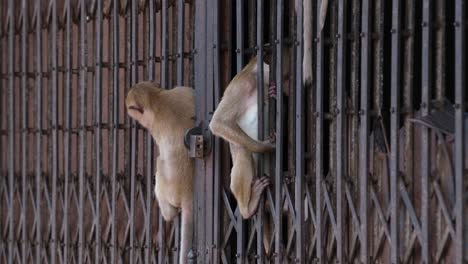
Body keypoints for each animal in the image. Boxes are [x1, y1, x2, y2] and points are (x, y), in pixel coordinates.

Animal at [124, 82, 194, 264]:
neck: (158, 99)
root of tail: (188, 194)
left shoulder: (154, 125)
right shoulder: (183, 90)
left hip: (166, 186)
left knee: (159, 162)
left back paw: (167, 214)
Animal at [208, 58, 274, 219]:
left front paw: (273, 92)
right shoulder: (243, 84)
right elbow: (218, 122)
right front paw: (267, 146)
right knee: (243, 150)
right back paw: (247, 208)